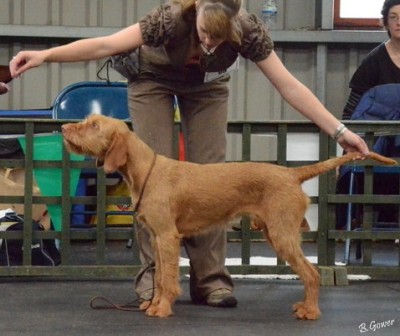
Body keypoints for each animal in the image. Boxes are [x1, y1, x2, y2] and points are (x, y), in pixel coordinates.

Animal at [61, 115, 396, 320]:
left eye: (94, 125)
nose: (63, 128)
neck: (146, 170)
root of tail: (292, 173)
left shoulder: (168, 237)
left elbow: (168, 279)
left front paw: (163, 307)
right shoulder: (157, 238)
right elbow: (158, 276)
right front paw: (152, 303)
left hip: (282, 235)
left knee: (312, 273)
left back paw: (310, 312)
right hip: (276, 233)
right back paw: (304, 305)